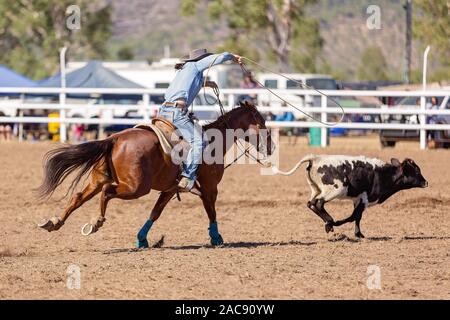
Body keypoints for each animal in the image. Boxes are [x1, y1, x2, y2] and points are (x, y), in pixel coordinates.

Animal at [37, 100, 272, 248]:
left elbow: (155, 212)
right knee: (107, 192)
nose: (271, 147)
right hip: (135, 187)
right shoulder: (209, 188)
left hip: (98, 179)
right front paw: (217, 238)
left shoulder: (169, 189)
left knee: (78, 197)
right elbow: (212, 212)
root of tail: (114, 139)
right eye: (262, 123)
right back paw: (96, 221)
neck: (213, 142)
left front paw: (142, 239)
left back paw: (54, 222)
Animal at [272, 155, 428, 238]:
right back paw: (329, 223)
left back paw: (328, 222)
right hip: (335, 190)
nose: (426, 182)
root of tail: (316, 159)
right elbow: (354, 216)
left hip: (316, 189)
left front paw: (359, 234)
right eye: (416, 171)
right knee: (318, 203)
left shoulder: (357, 199)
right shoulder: (364, 199)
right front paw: (337, 224)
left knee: (311, 203)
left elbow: (357, 218)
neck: (382, 174)